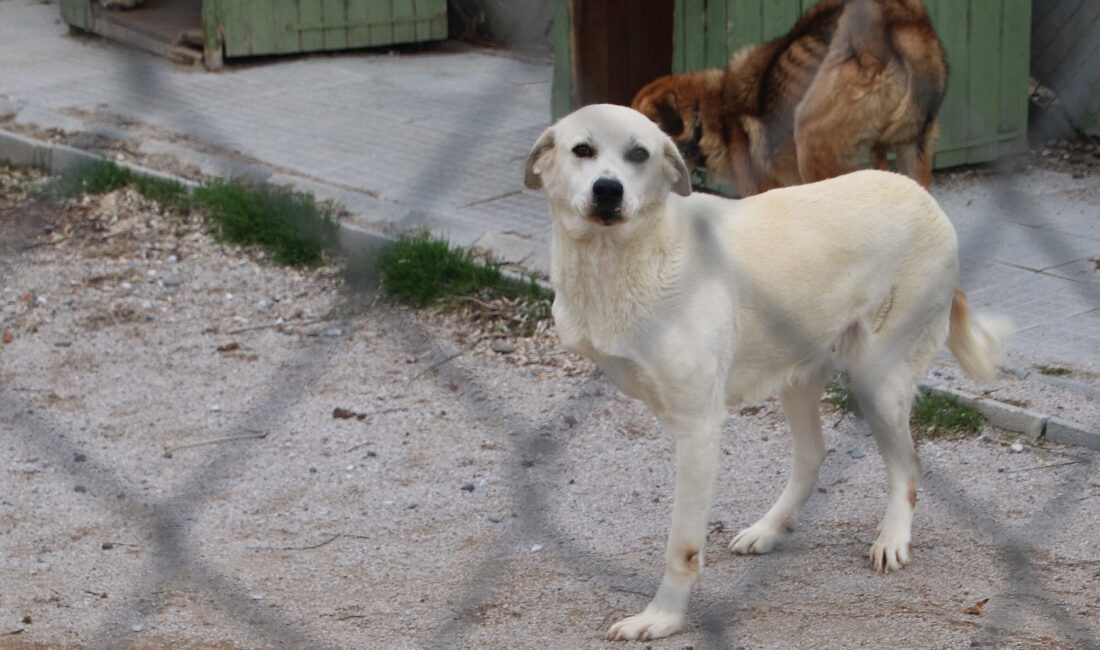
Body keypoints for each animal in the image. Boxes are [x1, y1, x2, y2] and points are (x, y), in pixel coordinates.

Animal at [523, 102, 1007, 642]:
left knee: (908, 463)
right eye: (582, 150)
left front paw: (662, 618)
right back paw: (769, 530)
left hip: (878, 380)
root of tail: (923, 196)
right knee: (814, 455)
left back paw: (892, 539)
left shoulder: (698, 430)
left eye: (639, 155)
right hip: (798, 375)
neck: (625, 257)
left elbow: (681, 547)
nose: (608, 189)